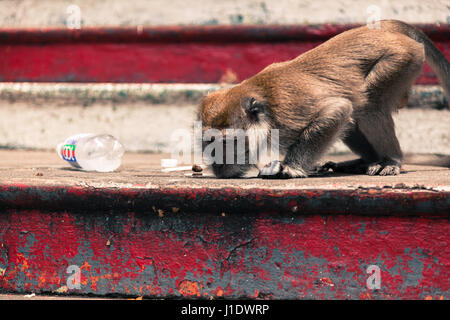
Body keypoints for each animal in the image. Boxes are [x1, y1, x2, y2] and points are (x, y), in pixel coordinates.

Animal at [200, 20, 450, 179]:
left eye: (226, 143)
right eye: (208, 143)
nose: (217, 166)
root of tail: (387, 29)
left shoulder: (288, 114)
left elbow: (337, 109)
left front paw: (291, 168)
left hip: (402, 59)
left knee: (368, 105)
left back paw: (390, 160)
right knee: (356, 113)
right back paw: (364, 161)